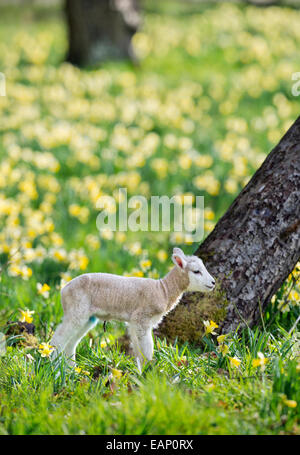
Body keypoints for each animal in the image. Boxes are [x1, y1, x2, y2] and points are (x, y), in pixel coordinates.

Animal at [51, 248, 216, 372]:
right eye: (196, 271)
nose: (213, 282)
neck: (163, 290)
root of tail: (63, 290)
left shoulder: (133, 322)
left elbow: (137, 348)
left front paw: (141, 371)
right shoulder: (142, 318)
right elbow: (147, 347)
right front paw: (149, 371)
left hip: (87, 317)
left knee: (71, 342)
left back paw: (72, 370)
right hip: (77, 310)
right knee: (59, 338)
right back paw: (52, 365)